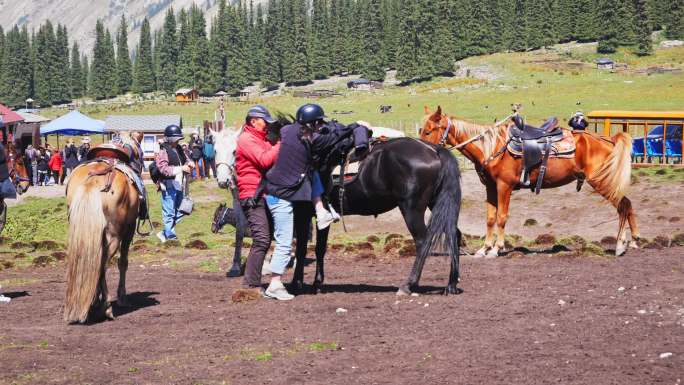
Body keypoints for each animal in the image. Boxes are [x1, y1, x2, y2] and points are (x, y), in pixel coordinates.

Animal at [63, 159, 140, 320]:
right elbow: (123, 262)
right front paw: (121, 298)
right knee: (102, 264)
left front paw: (94, 301)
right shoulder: (129, 229)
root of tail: (93, 180)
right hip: (114, 237)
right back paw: (107, 307)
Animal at [420, 105, 640, 256]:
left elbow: (502, 217)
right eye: (421, 129)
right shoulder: (490, 187)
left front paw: (496, 249)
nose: (422, 150)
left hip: (603, 182)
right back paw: (634, 241)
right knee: (627, 205)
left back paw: (620, 245)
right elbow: (490, 218)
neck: (491, 147)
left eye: (429, 130)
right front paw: (484, 248)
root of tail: (608, 140)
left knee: (623, 206)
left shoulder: (504, 186)